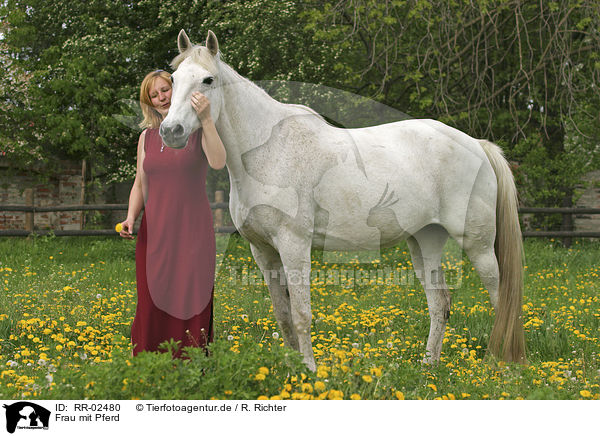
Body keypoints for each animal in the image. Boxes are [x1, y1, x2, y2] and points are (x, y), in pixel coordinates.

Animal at [162, 30, 528, 370]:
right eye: (174, 79)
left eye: (208, 80)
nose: (171, 131)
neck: (269, 152)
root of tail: (477, 144)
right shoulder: (263, 251)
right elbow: (283, 316)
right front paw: (291, 368)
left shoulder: (294, 245)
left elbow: (301, 313)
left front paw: (309, 370)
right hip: (425, 241)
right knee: (440, 304)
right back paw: (429, 364)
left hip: (478, 244)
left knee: (501, 299)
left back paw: (501, 365)